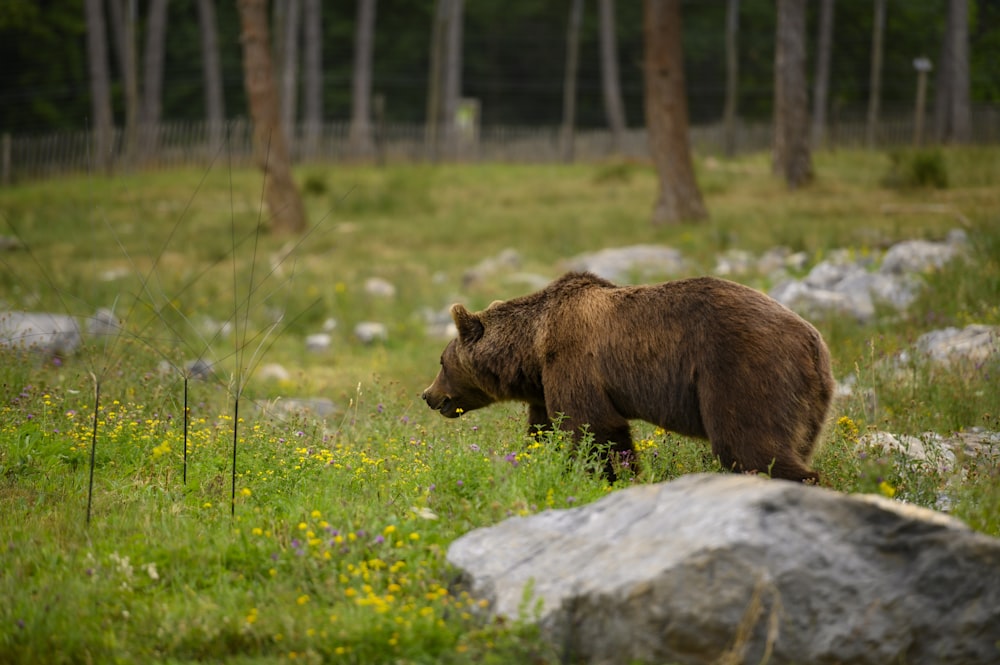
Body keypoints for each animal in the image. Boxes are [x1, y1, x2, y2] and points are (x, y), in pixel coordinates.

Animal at [422, 270, 836, 482]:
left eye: (441, 361)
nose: (427, 395)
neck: (533, 350)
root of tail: (813, 341)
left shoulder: (575, 362)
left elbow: (594, 428)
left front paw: (610, 477)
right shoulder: (545, 385)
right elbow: (546, 432)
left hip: (742, 371)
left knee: (749, 446)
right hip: (806, 403)